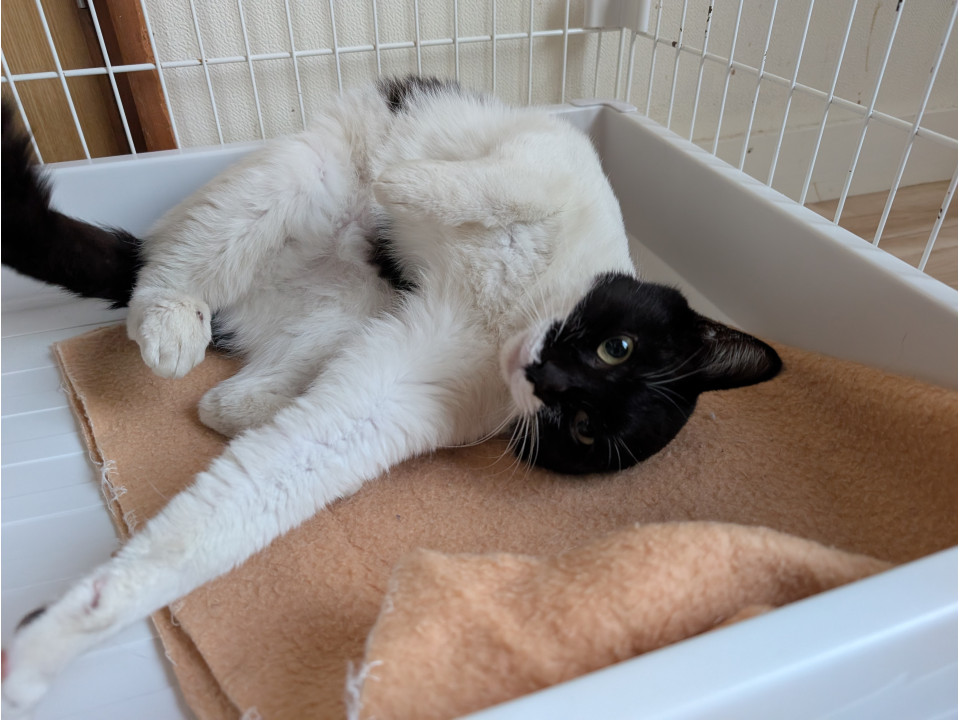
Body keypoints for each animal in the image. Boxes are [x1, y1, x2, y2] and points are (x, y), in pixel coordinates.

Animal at [1, 77, 781, 714]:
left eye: (582, 427)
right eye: (614, 347)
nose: (547, 381)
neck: (511, 313)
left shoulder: (409, 394)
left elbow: (246, 499)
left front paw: (56, 637)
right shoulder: (552, 166)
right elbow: (491, 182)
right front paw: (405, 183)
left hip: (342, 316)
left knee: (232, 390)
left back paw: (251, 396)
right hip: (281, 185)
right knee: (164, 271)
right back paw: (173, 327)